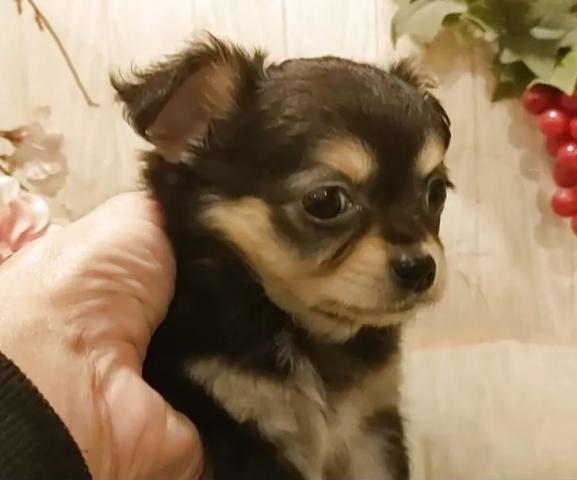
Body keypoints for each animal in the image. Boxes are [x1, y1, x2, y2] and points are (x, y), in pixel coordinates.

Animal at [113, 34, 451, 480]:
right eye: (325, 201)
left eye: (437, 193)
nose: (420, 268)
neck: (310, 335)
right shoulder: (243, 420)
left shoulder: (372, 427)